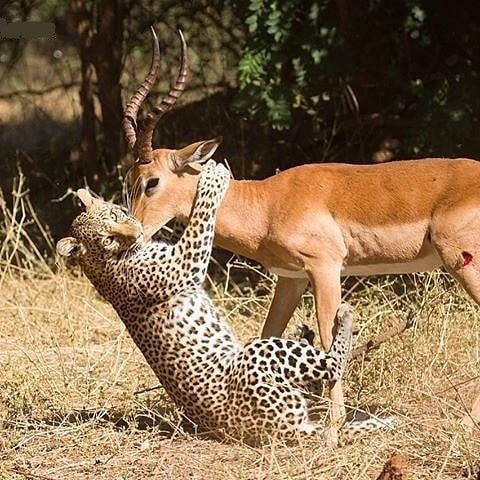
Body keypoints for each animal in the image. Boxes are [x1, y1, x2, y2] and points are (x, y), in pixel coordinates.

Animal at [56, 162, 378, 442]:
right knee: (331, 364)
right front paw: (214, 177)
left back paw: (306, 334)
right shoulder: (183, 264)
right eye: (107, 239)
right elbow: (201, 218)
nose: (136, 233)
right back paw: (343, 317)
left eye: (115, 214)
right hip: (257, 357)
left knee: (315, 379)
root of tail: (287, 429)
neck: (101, 262)